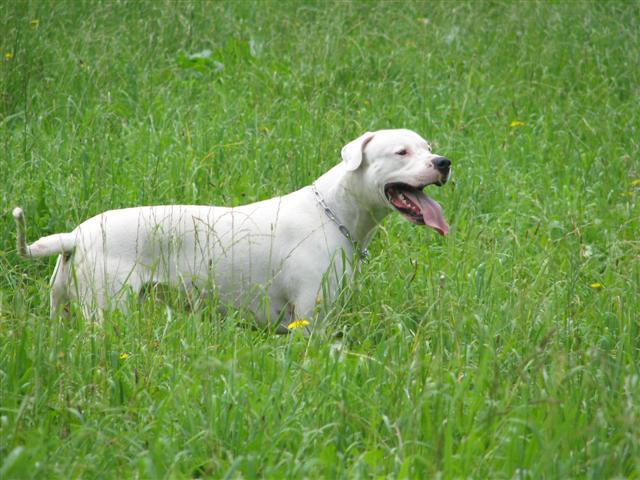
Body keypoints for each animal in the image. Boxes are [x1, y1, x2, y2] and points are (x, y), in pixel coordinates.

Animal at [13, 129, 450, 332]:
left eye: (428, 147)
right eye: (401, 152)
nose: (444, 162)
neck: (333, 211)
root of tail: (74, 236)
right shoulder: (309, 318)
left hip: (62, 307)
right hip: (108, 311)